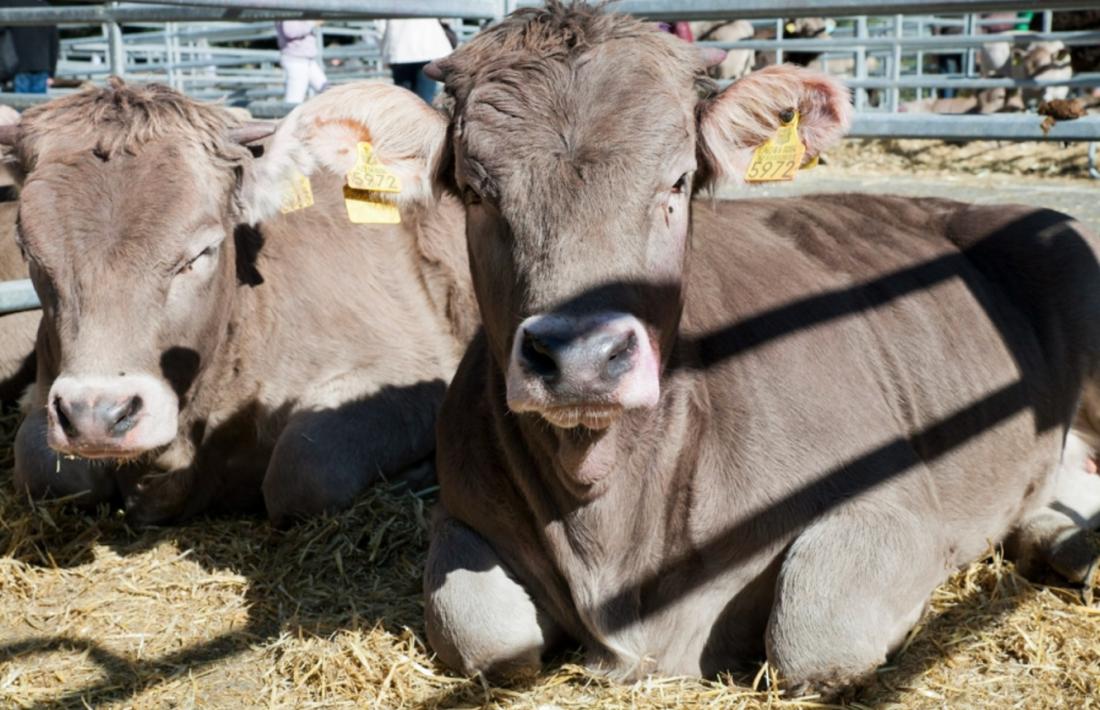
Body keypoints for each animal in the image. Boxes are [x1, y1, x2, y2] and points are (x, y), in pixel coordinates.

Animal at [4, 80, 477, 526]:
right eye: (29, 253)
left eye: (201, 252)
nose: (97, 417)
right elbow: (50, 473)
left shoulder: (411, 367)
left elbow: (304, 468)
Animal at [310, 0, 1100, 695]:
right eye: (476, 192)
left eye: (679, 180)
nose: (582, 359)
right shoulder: (462, 514)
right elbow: (484, 639)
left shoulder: (895, 500)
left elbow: (814, 637)